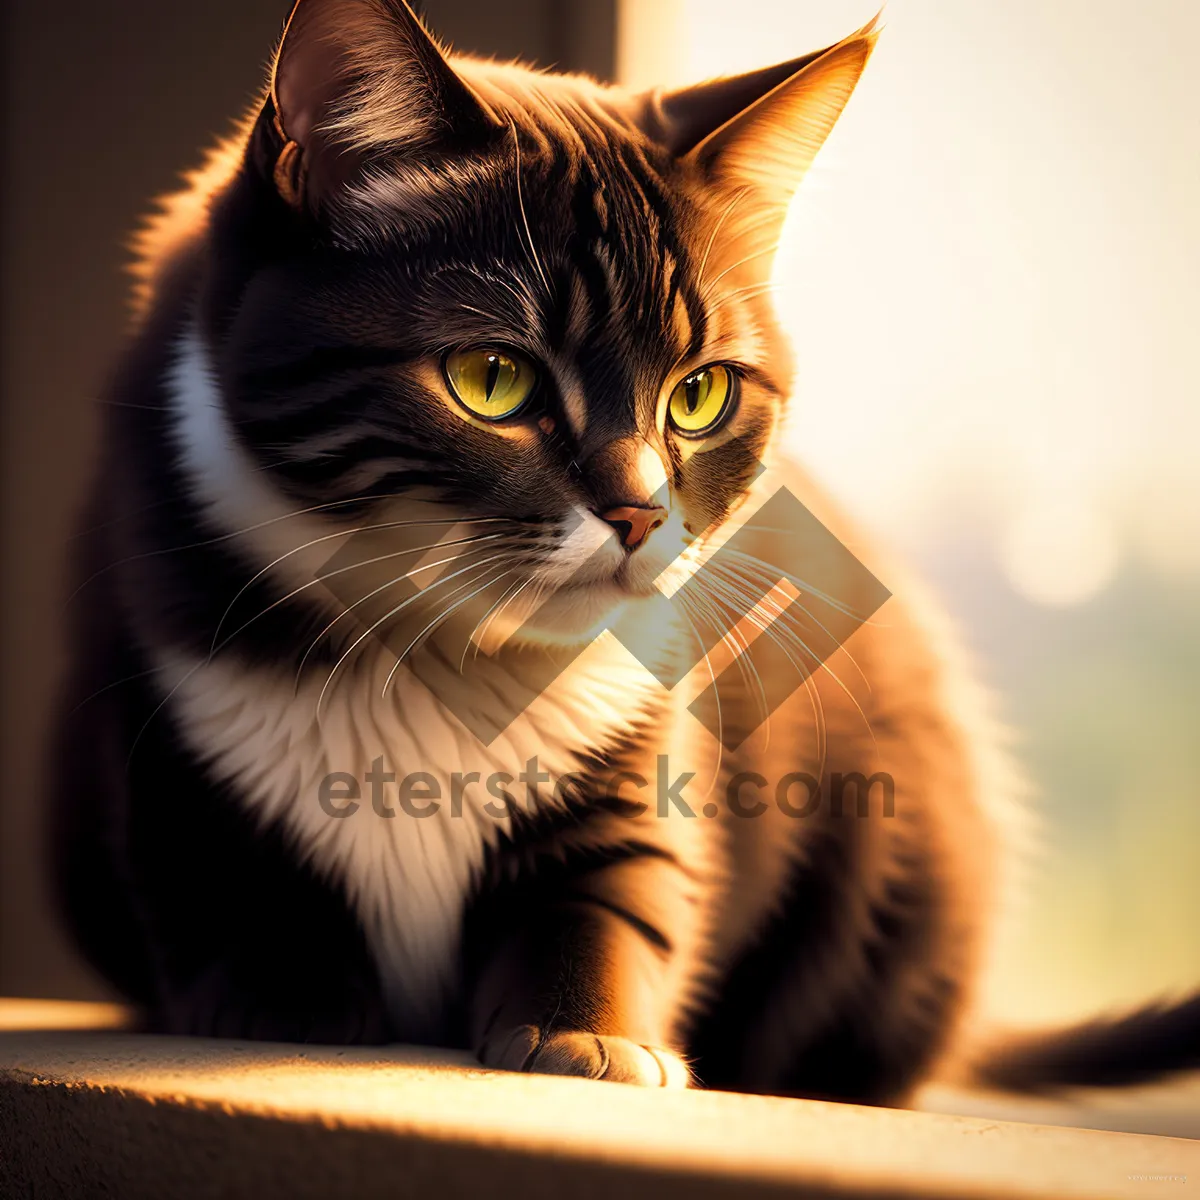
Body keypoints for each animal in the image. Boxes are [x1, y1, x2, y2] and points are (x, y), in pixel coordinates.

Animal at [56, 0, 1200, 1104]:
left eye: (700, 394)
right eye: (492, 378)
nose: (642, 513)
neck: (433, 661)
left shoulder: (643, 727)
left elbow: (616, 890)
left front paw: (588, 1035)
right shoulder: (169, 708)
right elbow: (223, 869)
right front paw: (282, 1006)